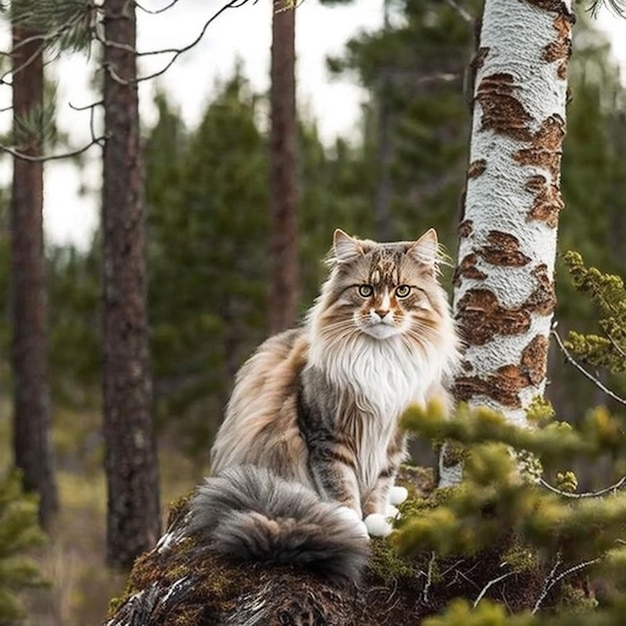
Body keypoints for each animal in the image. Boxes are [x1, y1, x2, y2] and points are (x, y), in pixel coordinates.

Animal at [186, 228, 458, 580]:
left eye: (403, 291)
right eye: (365, 290)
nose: (382, 312)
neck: (380, 357)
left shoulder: (391, 438)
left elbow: (380, 483)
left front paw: (377, 519)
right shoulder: (328, 437)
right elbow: (341, 487)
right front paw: (353, 525)